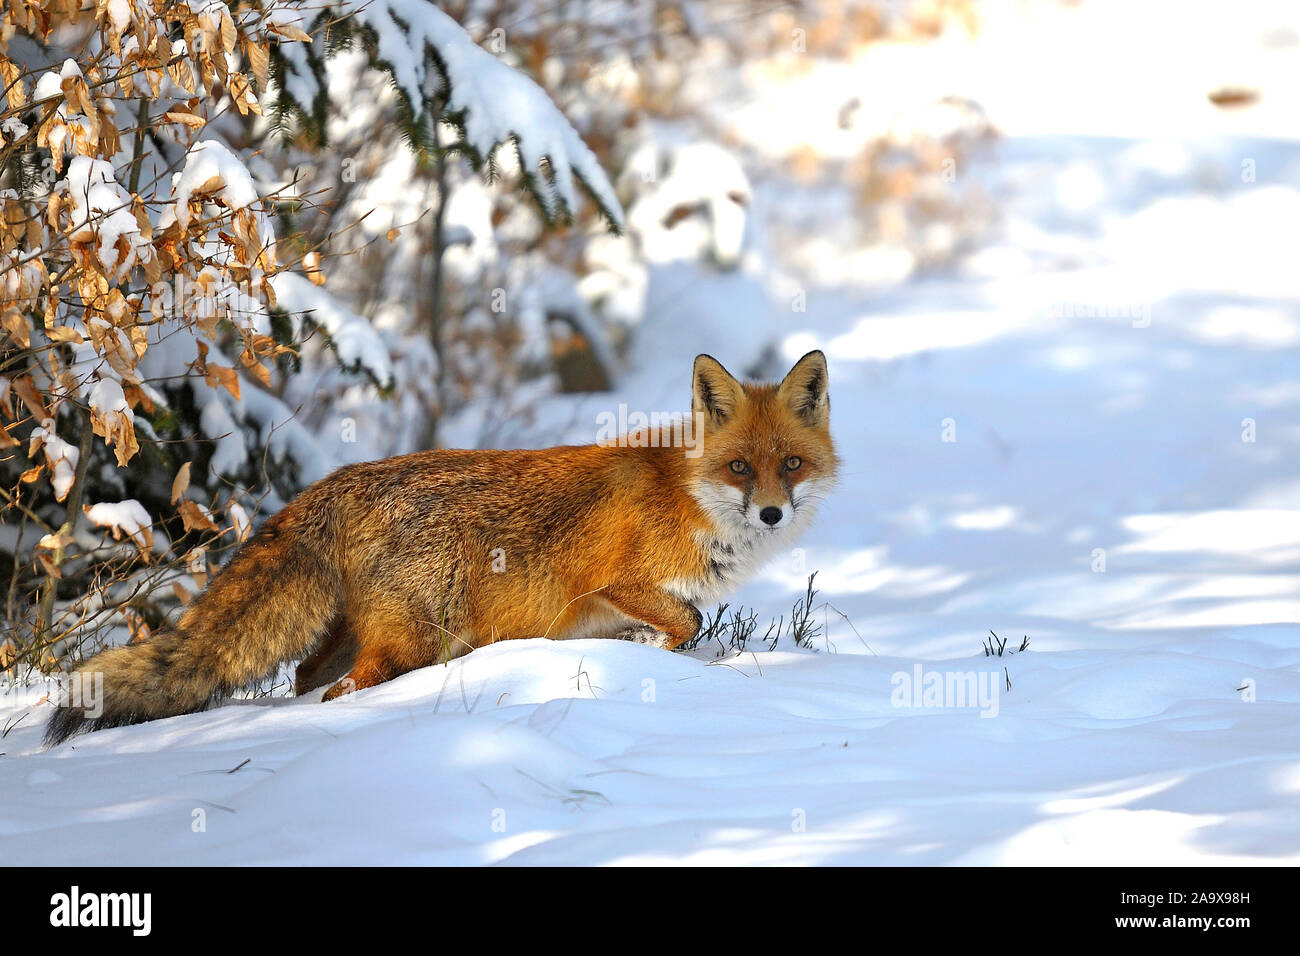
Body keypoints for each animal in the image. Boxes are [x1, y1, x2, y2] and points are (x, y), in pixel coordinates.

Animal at [45, 348, 837, 743]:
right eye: (741, 468)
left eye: (791, 465)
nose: (771, 514)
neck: (690, 498)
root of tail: (341, 479)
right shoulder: (613, 583)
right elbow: (688, 621)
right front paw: (655, 657)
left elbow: (679, 628)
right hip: (413, 642)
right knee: (339, 691)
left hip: (355, 634)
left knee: (303, 678)